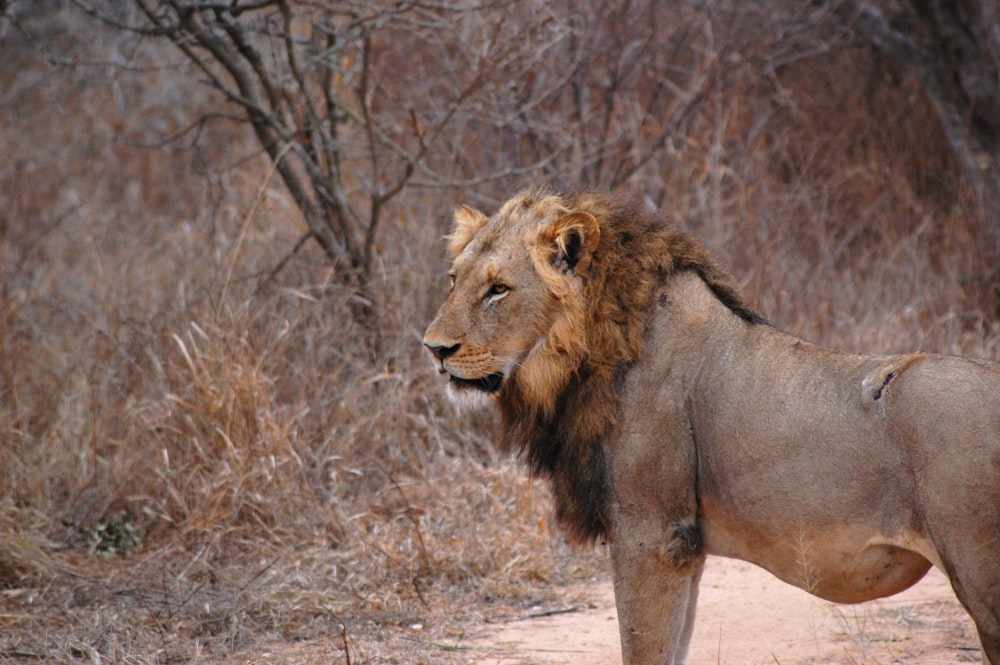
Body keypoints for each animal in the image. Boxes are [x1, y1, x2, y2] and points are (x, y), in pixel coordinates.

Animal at [422, 188, 1000, 664]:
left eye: (498, 289)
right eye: (453, 280)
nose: (434, 349)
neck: (580, 354)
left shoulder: (652, 534)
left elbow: (644, 649)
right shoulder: (688, 547)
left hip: (982, 580)